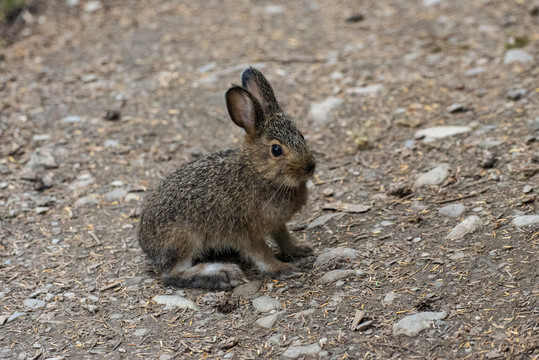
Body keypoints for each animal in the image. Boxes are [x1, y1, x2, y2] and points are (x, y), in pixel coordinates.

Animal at [137, 66, 316, 288]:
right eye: (276, 150)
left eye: (301, 135)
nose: (310, 166)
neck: (258, 172)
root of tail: (145, 243)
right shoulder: (246, 232)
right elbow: (261, 253)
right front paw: (281, 269)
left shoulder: (277, 224)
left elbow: (284, 238)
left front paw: (301, 248)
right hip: (183, 239)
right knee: (172, 274)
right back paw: (224, 273)